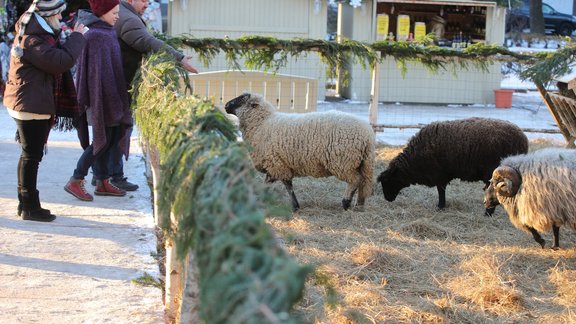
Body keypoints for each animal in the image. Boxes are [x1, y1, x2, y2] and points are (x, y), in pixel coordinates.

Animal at [223, 92, 376, 211]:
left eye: (240, 99)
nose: (225, 105)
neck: (261, 124)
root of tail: (368, 134)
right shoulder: (278, 165)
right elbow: (280, 184)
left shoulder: (276, 164)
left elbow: (284, 185)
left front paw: (293, 206)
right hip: (361, 163)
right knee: (363, 183)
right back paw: (358, 205)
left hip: (343, 162)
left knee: (355, 180)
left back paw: (346, 202)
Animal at [376, 117, 528, 215]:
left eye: (388, 181)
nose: (388, 199)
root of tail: (523, 139)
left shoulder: (439, 175)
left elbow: (441, 191)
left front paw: (440, 206)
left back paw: (488, 213)